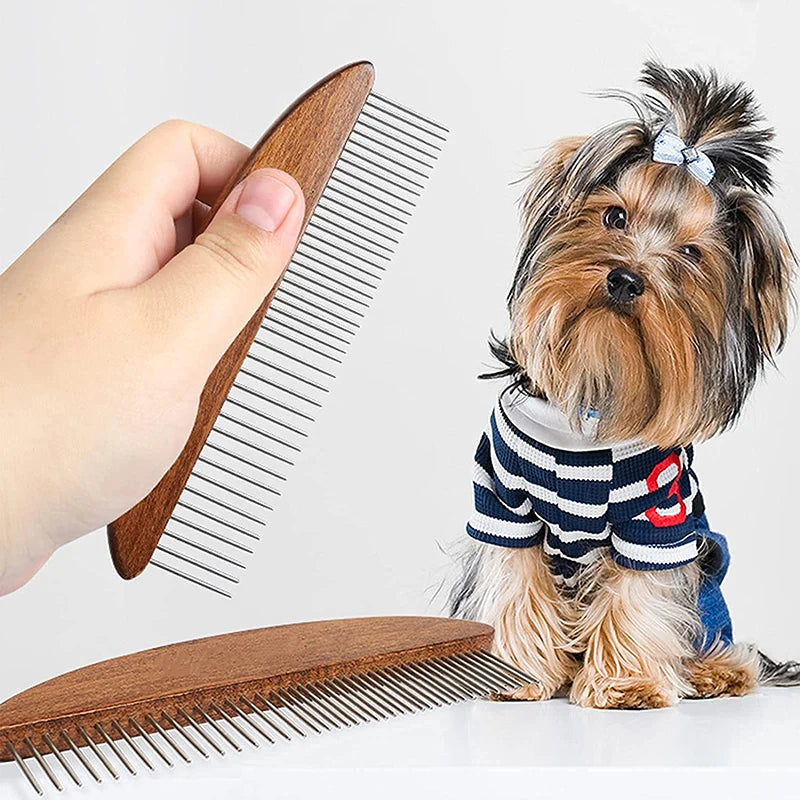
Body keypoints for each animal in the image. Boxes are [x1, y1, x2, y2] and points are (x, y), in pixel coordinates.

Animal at [450, 65, 800, 708]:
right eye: (614, 216)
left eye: (690, 254)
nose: (626, 278)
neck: (597, 384)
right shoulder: (503, 500)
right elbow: (517, 579)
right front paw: (516, 675)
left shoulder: (657, 520)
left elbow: (640, 591)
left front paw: (627, 682)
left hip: (709, 575)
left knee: (717, 636)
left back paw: (713, 672)